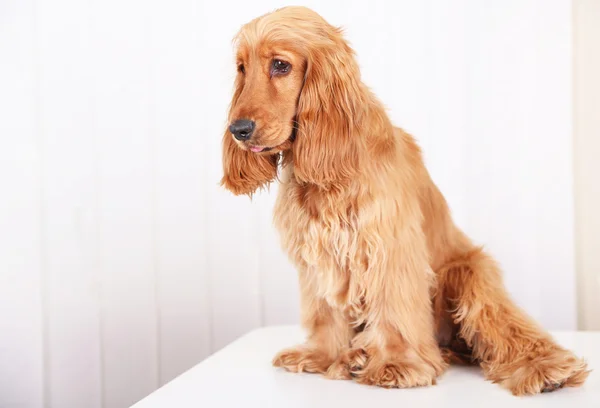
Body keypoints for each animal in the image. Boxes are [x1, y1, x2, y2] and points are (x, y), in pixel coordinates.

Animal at [218, 6, 588, 396]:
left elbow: (394, 306)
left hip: (467, 272)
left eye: (280, 65)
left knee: (504, 323)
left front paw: (397, 362)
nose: (238, 129)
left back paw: (546, 368)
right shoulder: (317, 253)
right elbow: (325, 310)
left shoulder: (389, 246)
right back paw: (357, 354)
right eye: (242, 68)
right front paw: (322, 354)